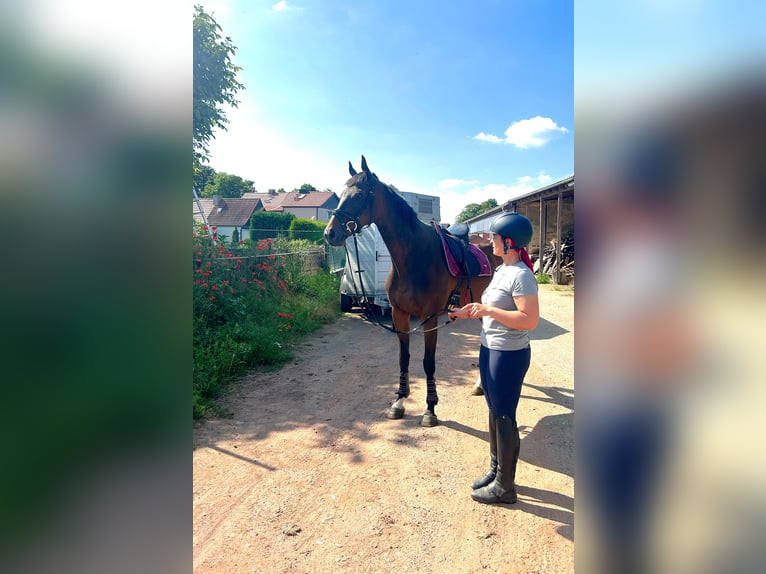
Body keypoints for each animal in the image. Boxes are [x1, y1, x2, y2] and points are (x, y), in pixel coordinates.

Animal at [324, 158, 498, 428]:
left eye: (360, 195)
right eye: (341, 195)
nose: (330, 233)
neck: (414, 257)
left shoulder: (430, 318)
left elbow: (428, 362)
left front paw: (430, 409)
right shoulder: (400, 315)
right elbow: (403, 358)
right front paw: (398, 402)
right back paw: (480, 385)